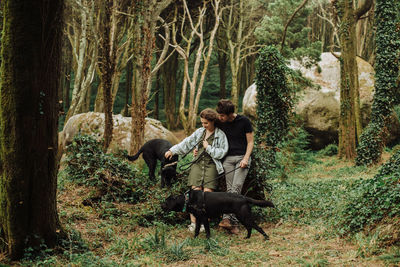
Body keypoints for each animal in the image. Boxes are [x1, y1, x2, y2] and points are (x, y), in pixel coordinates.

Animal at [128, 139, 276, 240]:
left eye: (166, 202)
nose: (161, 206)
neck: (188, 199)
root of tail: (244, 197)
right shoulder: (198, 219)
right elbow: (197, 230)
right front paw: (194, 239)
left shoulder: (204, 217)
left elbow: (207, 231)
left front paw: (208, 241)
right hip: (241, 216)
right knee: (250, 227)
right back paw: (247, 237)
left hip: (243, 215)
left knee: (256, 226)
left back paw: (266, 237)